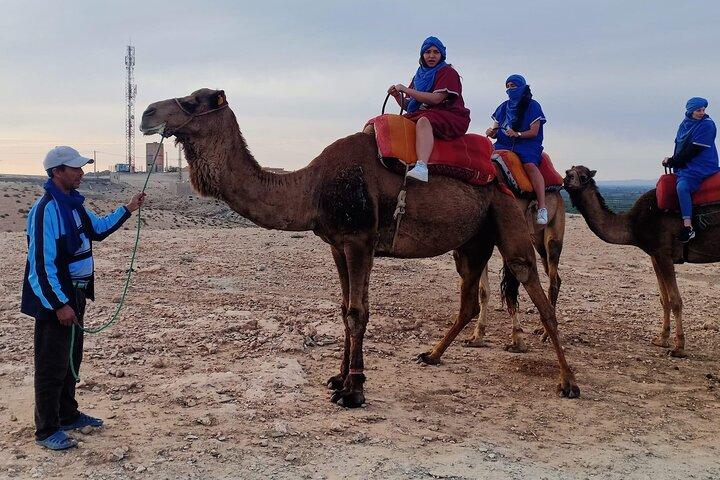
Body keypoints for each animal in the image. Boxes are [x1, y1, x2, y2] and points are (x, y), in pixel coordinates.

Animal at [139, 88, 579, 407]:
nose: (147, 112)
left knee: (532, 282)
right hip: (471, 240)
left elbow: (357, 312)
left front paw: (353, 391)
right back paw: (431, 355)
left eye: (196, 100)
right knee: (470, 296)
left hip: (508, 216)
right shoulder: (337, 244)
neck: (312, 188)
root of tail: (504, 168)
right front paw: (339, 378)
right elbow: (344, 308)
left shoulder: (359, 242)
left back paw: (568, 381)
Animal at [564, 165, 720, 357]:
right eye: (568, 171)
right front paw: (661, 339)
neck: (633, 225)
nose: (567, 178)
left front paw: (679, 347)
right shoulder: (654, 255)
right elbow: (664, 299)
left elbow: (675, 300)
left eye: (584, 176)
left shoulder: (663, 253)